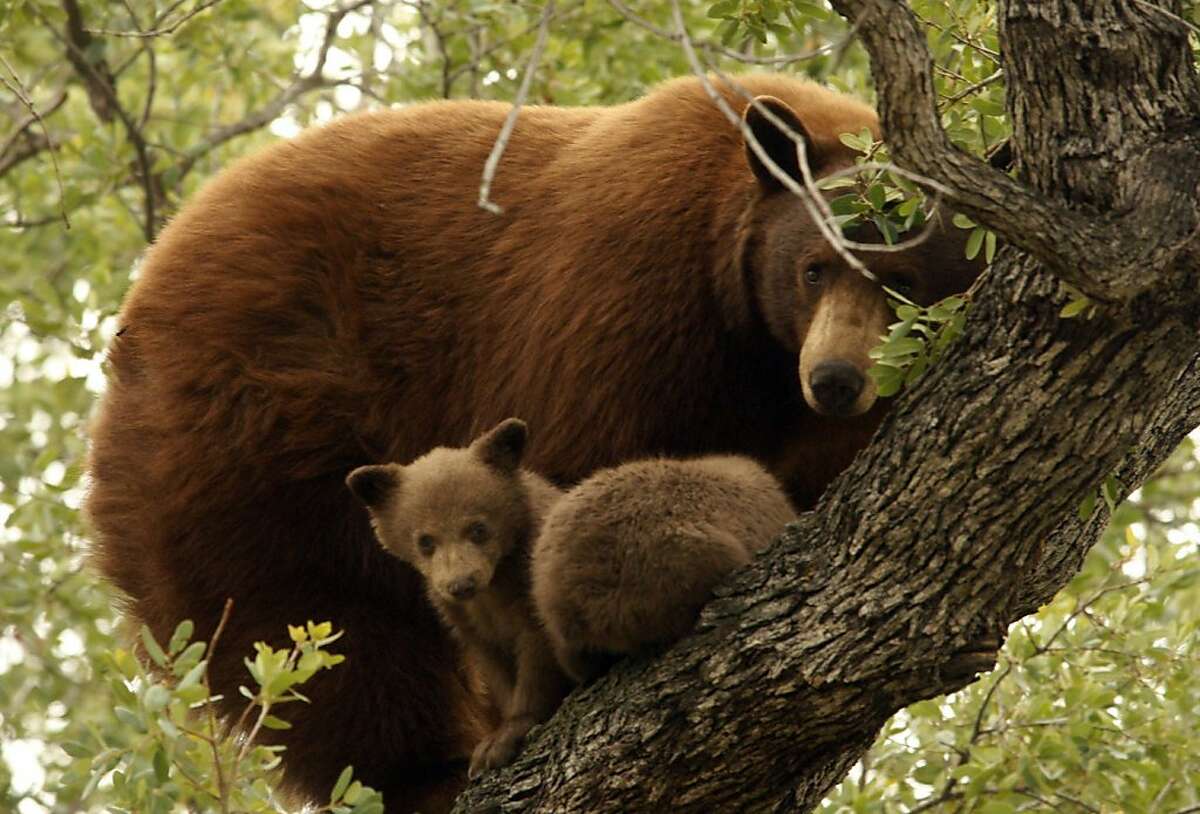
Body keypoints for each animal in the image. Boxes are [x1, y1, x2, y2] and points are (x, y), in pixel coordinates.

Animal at [345, 419, 571, 779]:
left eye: (478, 528)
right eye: (425, 540)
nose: (461, 584)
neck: (495, 587)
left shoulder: (533, 586)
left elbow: (539, 652)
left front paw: (504, 739)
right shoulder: (464, 619)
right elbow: (493, 663)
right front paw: (490, 743)